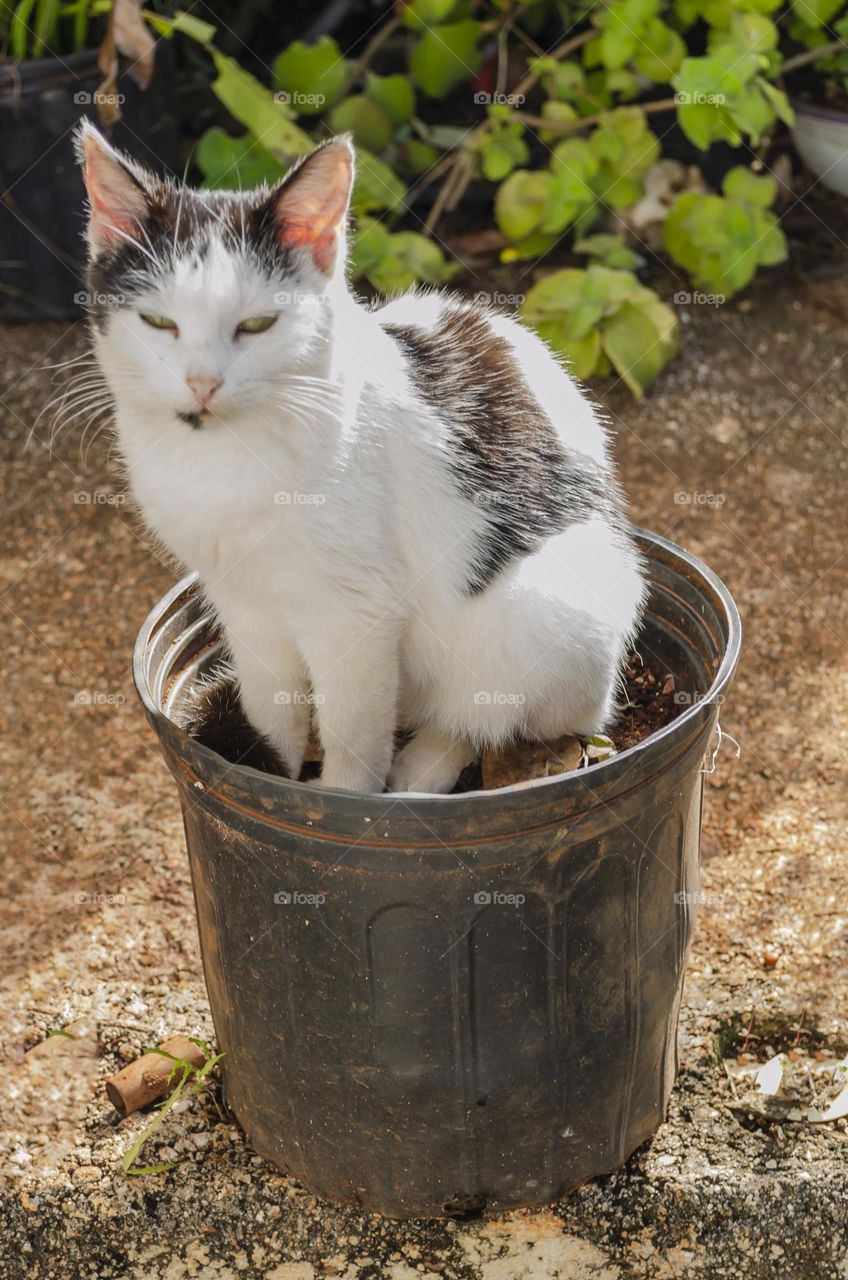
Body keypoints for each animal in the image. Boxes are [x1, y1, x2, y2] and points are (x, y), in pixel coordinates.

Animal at [76, 124, 648, 793]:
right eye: (158, 321)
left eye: (258, 324)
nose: (202, 383)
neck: (223, 459)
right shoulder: (243, 602)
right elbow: (271, 710)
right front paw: (271, 777)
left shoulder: (356, 615)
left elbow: (353, 734)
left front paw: (342, 798)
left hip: (543, 617)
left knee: (487, 717)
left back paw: (422, 772)